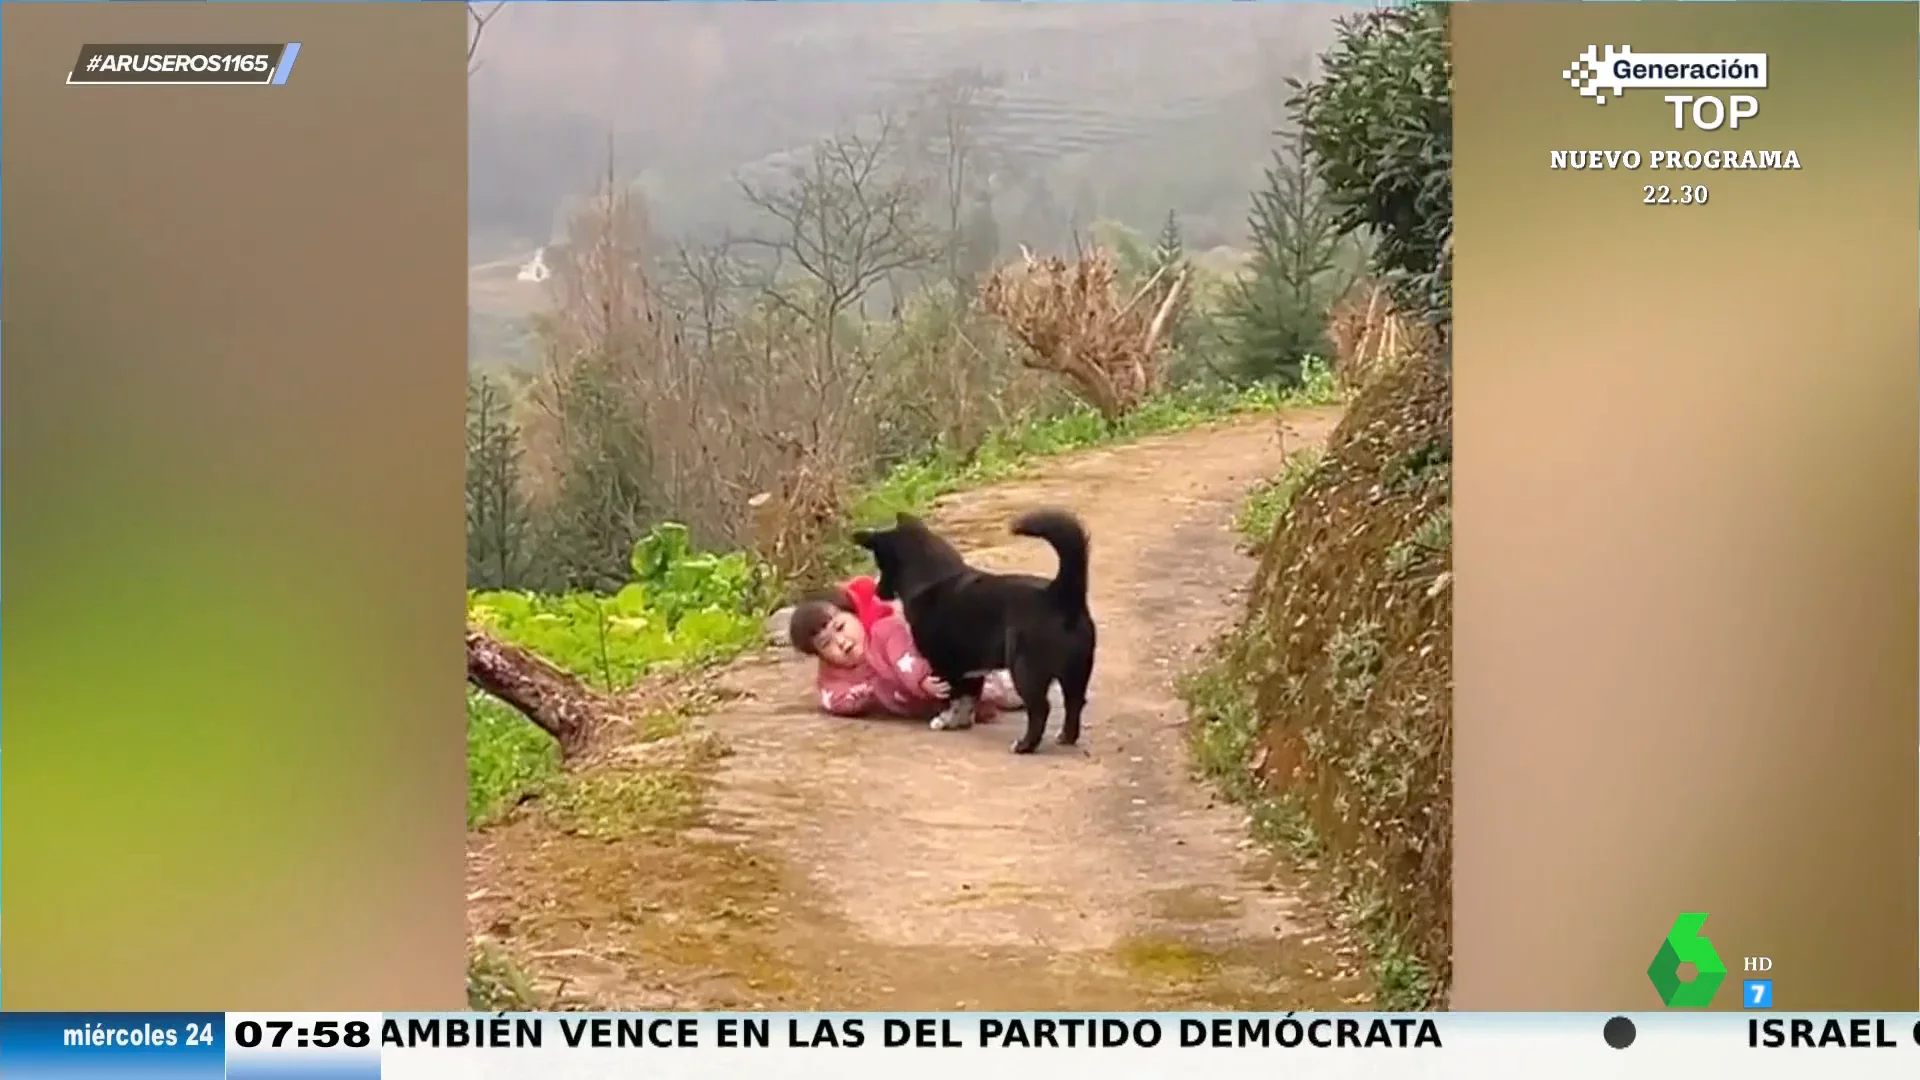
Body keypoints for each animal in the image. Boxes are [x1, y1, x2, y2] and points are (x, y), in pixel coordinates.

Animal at [856, 507, 1098, 753]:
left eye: (881, 565)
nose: (877, 592)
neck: (931, 576)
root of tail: (1059, 595)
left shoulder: (942, 664)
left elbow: (951, 697)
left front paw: (945, 720)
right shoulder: (971, 668)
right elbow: (969, 697)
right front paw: (961, 721)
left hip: (1026, 669)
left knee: (1041, 708)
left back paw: (1024, 745)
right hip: (1077, 670)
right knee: (1075, 702)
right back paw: (1066, 737)